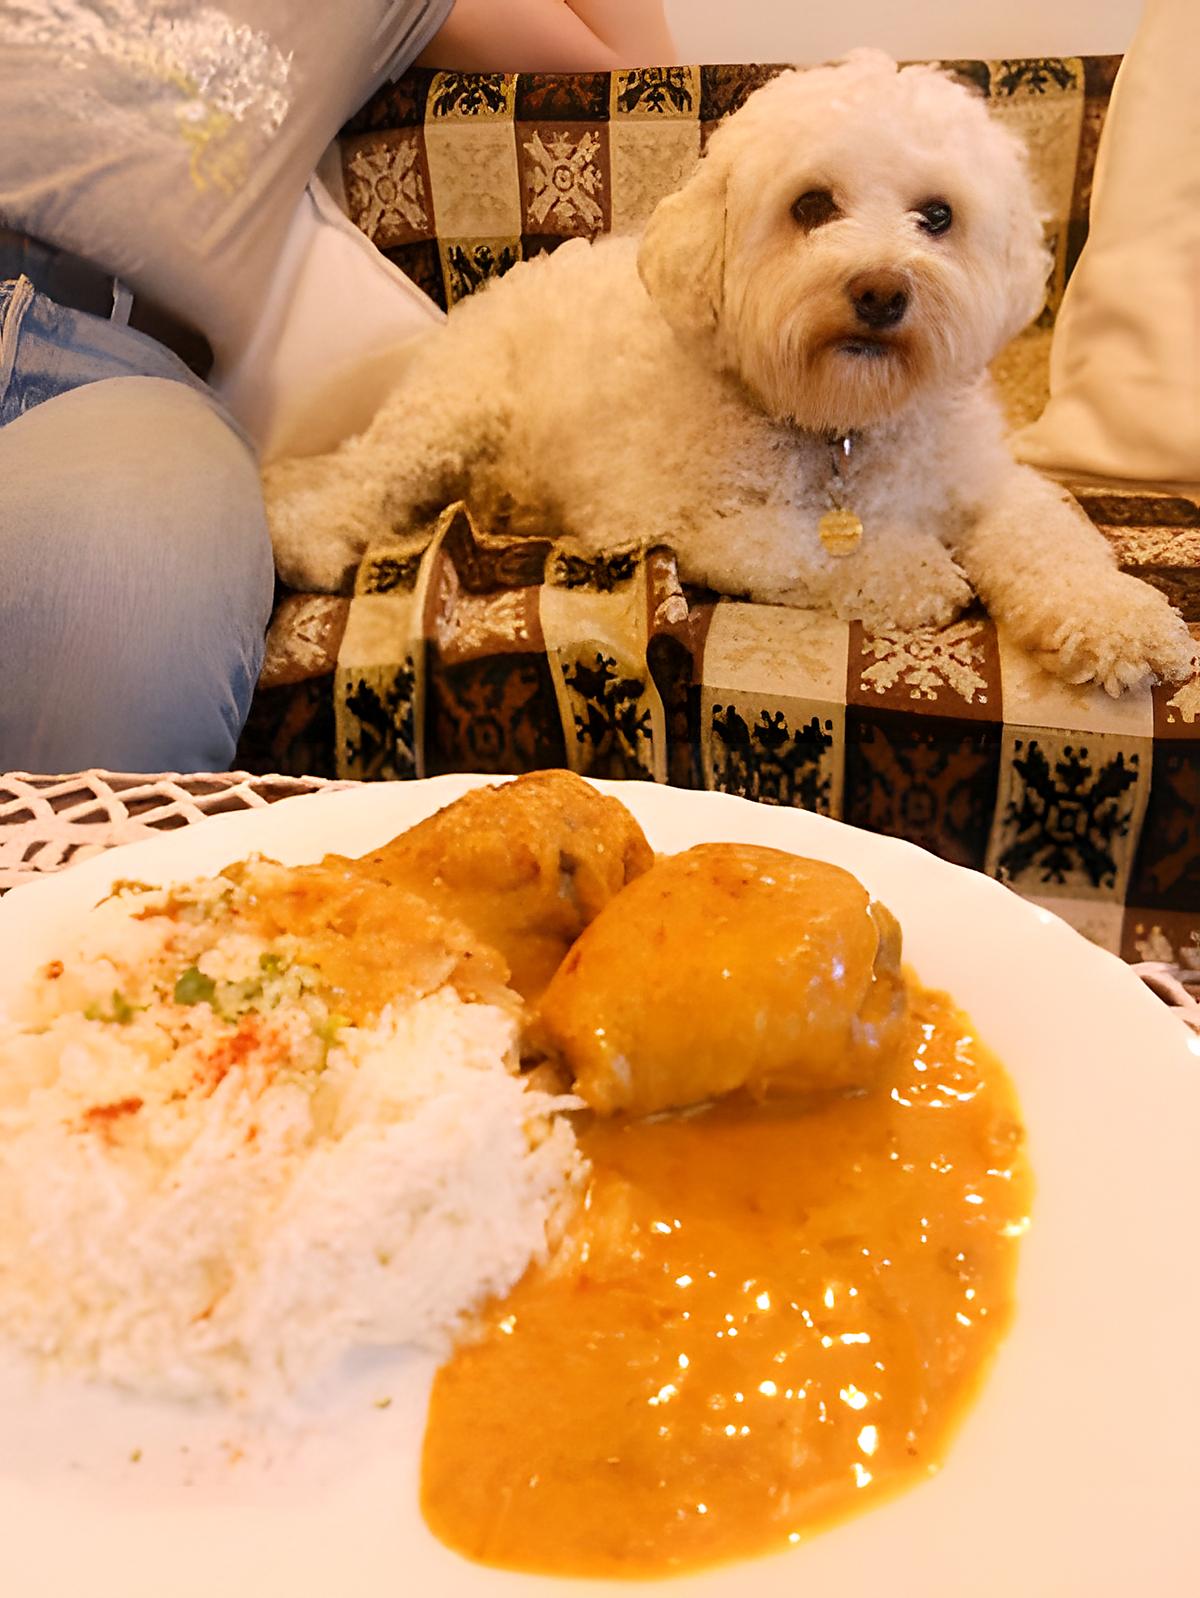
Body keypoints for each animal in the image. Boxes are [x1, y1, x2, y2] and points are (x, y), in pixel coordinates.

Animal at [266, 54, 1195, 693]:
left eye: (938, 216)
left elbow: (1054, 542)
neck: (839, 427)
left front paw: (1121, 621)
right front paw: (919, 571)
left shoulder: (987, 483)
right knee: (353, 480)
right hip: (448, 412)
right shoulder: (678, 518)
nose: (882, 290)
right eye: (811, 205)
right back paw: (309, 537)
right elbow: (814, 546)